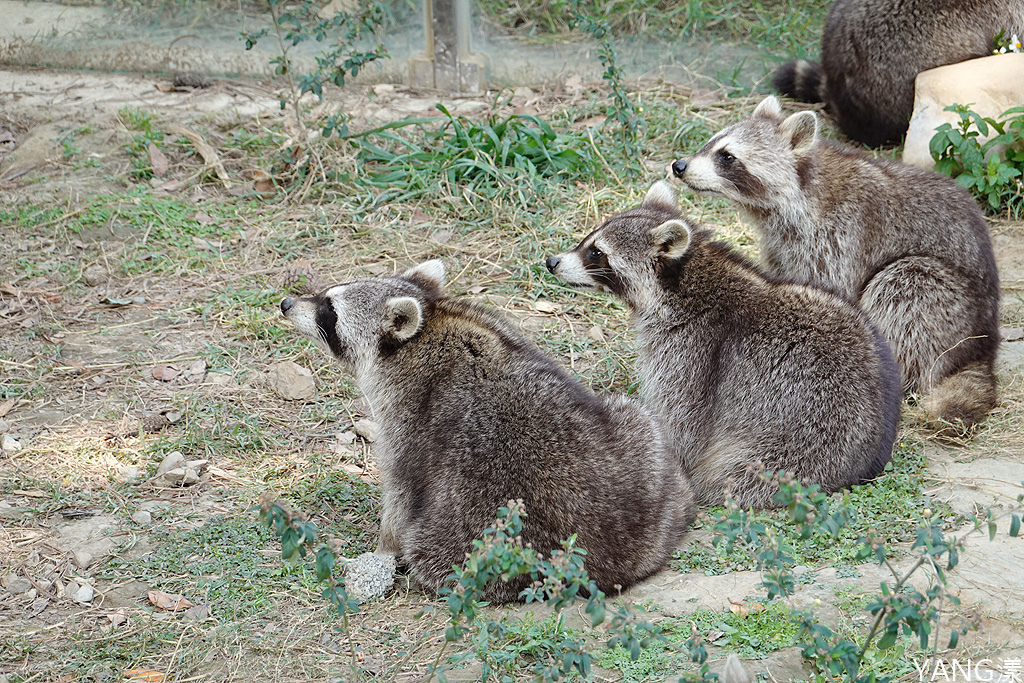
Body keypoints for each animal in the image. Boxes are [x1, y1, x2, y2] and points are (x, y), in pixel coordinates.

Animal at [280, 259, 696, 602]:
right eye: (325, 297)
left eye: (329, 310)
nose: (285, 303)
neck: (429, 324)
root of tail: (611, 563)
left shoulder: (406, 416)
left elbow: (400, 493)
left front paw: (383, 547)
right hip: (645, 448)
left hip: (476, 538)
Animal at [544, 181, 897, 507]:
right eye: (589, 240)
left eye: (597, 252)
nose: (551, 261)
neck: (683, 282)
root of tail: (863, 466)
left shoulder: (694, 354)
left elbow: (684, 430)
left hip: (789, 454)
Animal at [671, 94, 999, 432]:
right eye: (710, 143)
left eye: (727, 157)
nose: (679, 166)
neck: (800, 188)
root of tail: (984, 341)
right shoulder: (783, 245)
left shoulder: (838, 238)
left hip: (946, 302)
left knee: (903, 287)